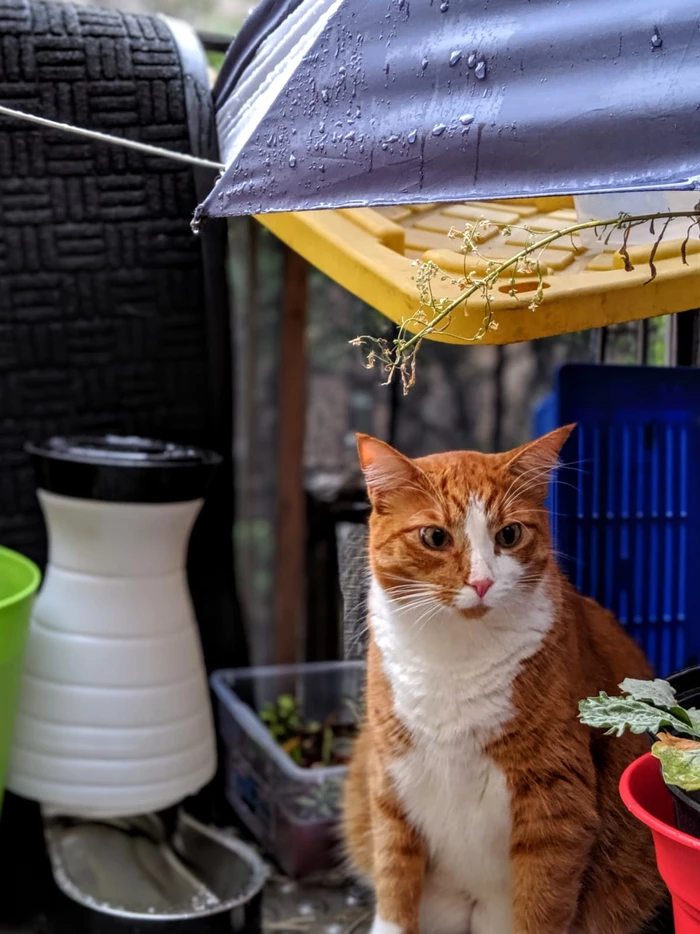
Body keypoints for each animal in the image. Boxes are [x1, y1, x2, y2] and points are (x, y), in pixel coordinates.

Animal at [342, 426, 666, 934]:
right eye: (434, 537)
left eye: (508, 535)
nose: (481, 583)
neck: (454, 658)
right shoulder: (389, 780)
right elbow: (394, 883)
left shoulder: (556, 799)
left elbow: (542, 902)